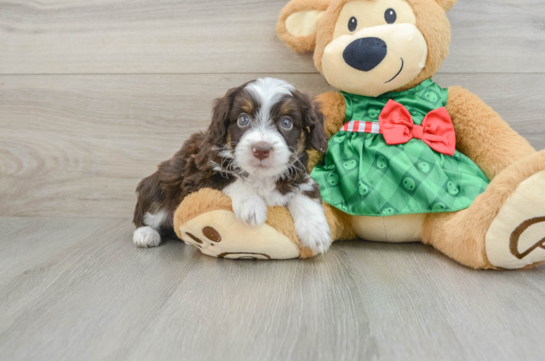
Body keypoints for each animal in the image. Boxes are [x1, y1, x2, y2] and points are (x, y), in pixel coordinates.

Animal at [135, 77, 332, 255]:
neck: (261, 176)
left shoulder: (300, 174)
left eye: (286, 123)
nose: (261, 149)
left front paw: (317, 232)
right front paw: (251, 205)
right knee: (148, 213)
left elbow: (305, 193)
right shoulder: (197, 175)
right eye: (243, 120)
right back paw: (145, 234)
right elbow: (230, 177)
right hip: (160, 185)